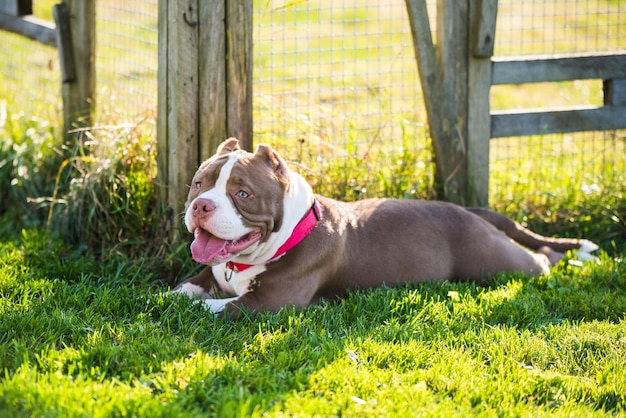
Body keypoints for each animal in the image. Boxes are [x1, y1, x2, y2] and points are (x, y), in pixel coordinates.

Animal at [169, 139, 596, 316]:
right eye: (198, 183)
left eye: (242, 193)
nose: (201, 205)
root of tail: (472, 210)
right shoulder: (209, 275)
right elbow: (181, 292)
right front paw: (163, 298)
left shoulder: (268, 303)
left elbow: (211, 307)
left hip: (496, 262)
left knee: (542, 258)